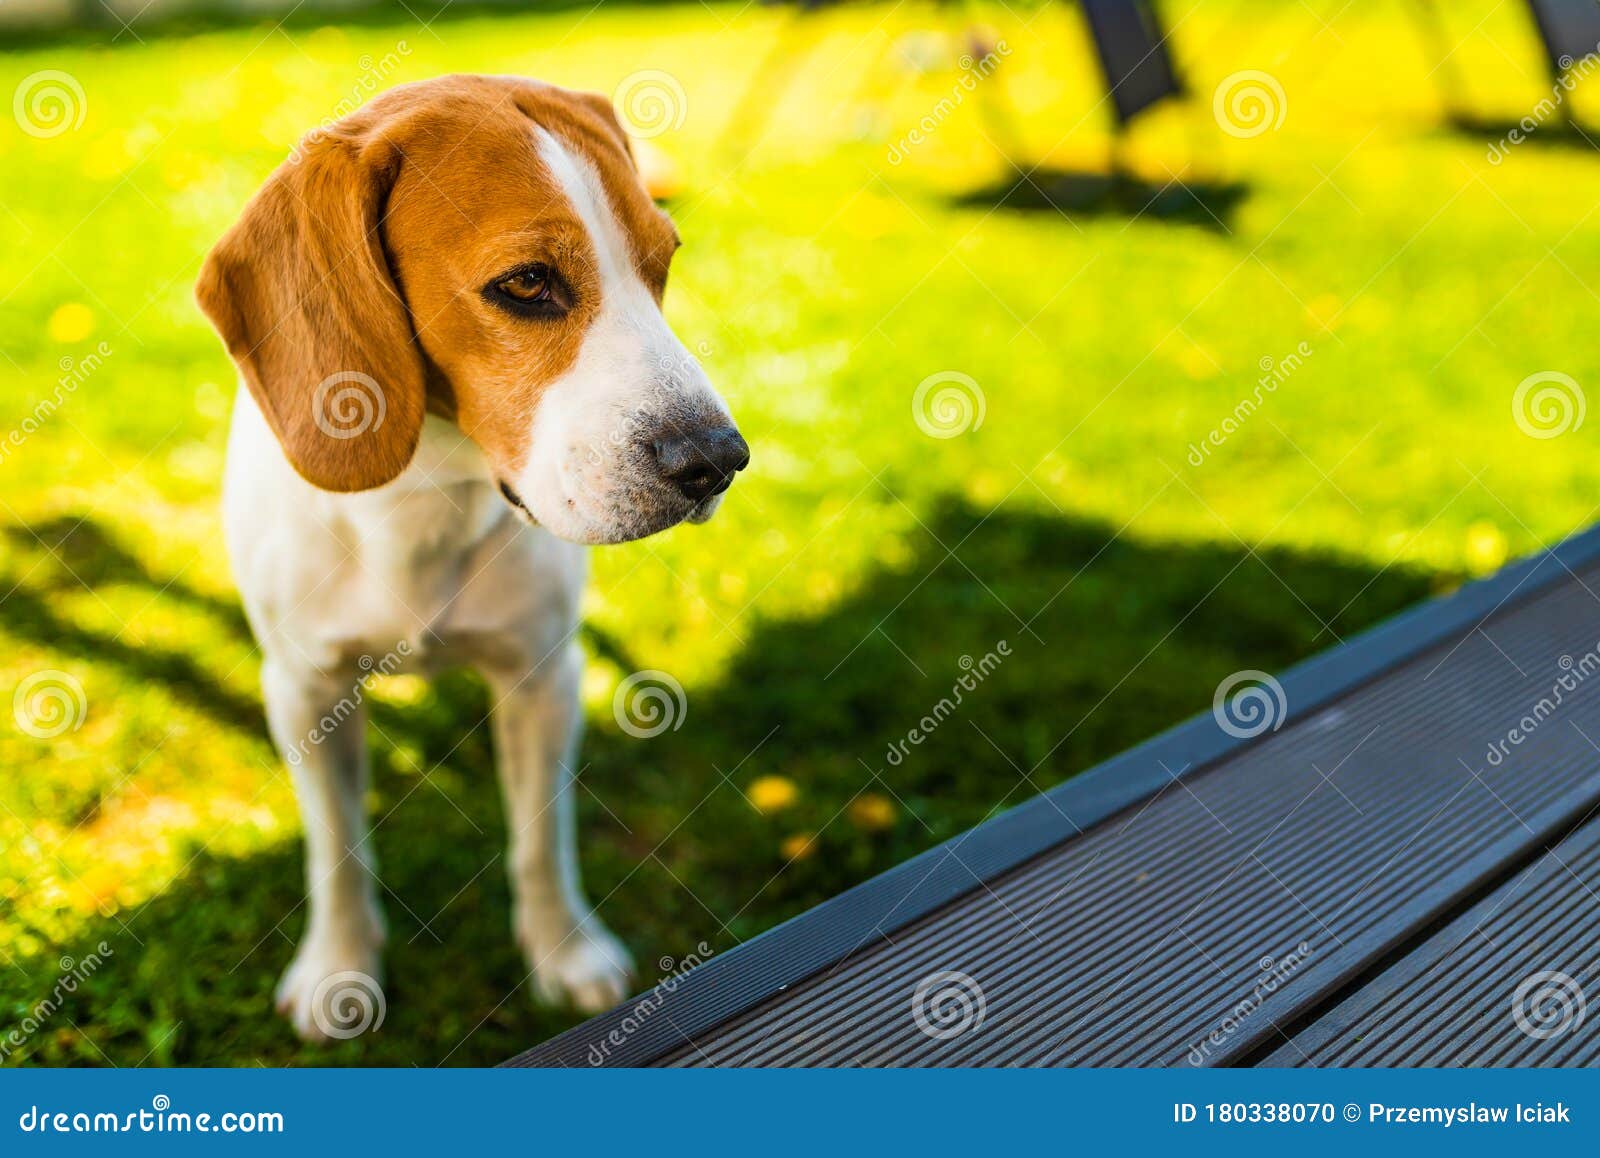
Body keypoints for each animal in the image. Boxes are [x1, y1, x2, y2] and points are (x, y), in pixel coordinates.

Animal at [196, 74, 745, 1042]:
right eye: (527, 284)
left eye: (663, 265)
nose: (718, 459)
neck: (423, 503)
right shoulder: (304, 690)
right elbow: (335, 850)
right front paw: (339, 971)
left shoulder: (543, 676)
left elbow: (541, 840)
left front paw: (564, 954)